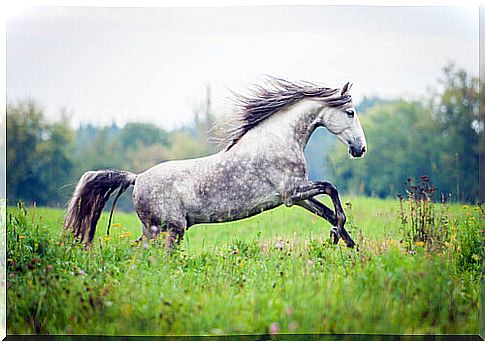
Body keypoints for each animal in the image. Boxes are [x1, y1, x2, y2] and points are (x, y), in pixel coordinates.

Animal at [65, 77, 366, 247]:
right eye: (350, 112)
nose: (360, 149)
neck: (278, 139)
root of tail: (136, 178)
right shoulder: (292, 191)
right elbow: (331, 189)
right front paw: (337, 238)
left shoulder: (296, 196)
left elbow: (327, 211)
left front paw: (347, 243)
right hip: (170, 229)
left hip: (156, 230)